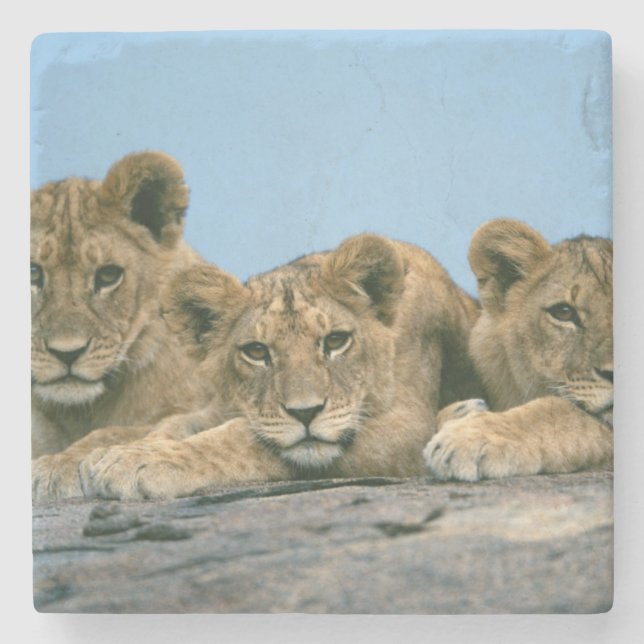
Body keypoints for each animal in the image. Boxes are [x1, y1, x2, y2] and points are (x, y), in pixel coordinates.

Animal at [53, 233, 483, 500]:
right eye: (257, 351)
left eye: (335, 341)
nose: (306, 413)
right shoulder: (221, 405)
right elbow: (173, 424)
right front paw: (98, 457)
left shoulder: (407, 425)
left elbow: (240, 440)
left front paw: (142, 461)